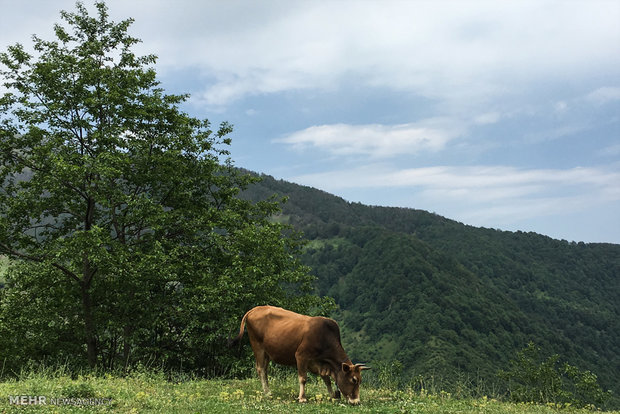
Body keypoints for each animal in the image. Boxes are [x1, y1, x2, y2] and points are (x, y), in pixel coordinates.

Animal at [231, 306, 368, 402]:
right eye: (354, 379)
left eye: (360, 380)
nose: (356, 401)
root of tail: (254, 309)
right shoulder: (301, 356)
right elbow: (303, 378)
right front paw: (302, 398)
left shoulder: (319, 363)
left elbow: (326, 380)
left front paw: (332, 396)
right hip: (258, 347)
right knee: (260, 369)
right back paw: (267, 392)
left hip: (267, 353)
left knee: (264, 369)